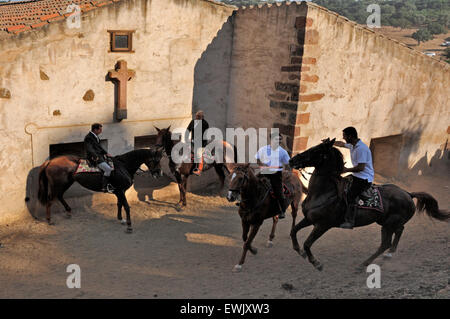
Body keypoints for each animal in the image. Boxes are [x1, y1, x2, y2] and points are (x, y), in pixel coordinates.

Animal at [288, 139, 450, 272]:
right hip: (385, 222)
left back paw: (364, 264)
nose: (292, 159)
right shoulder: (309, 219)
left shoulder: (323, 225)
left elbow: (307, 243)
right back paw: (388, 255)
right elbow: (293, 231)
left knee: (385, 243)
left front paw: (317, 263)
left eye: (316, 150)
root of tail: (408, 194)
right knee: (398, 232)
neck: (324, 193)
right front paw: (299, 251)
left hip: (389, 224)